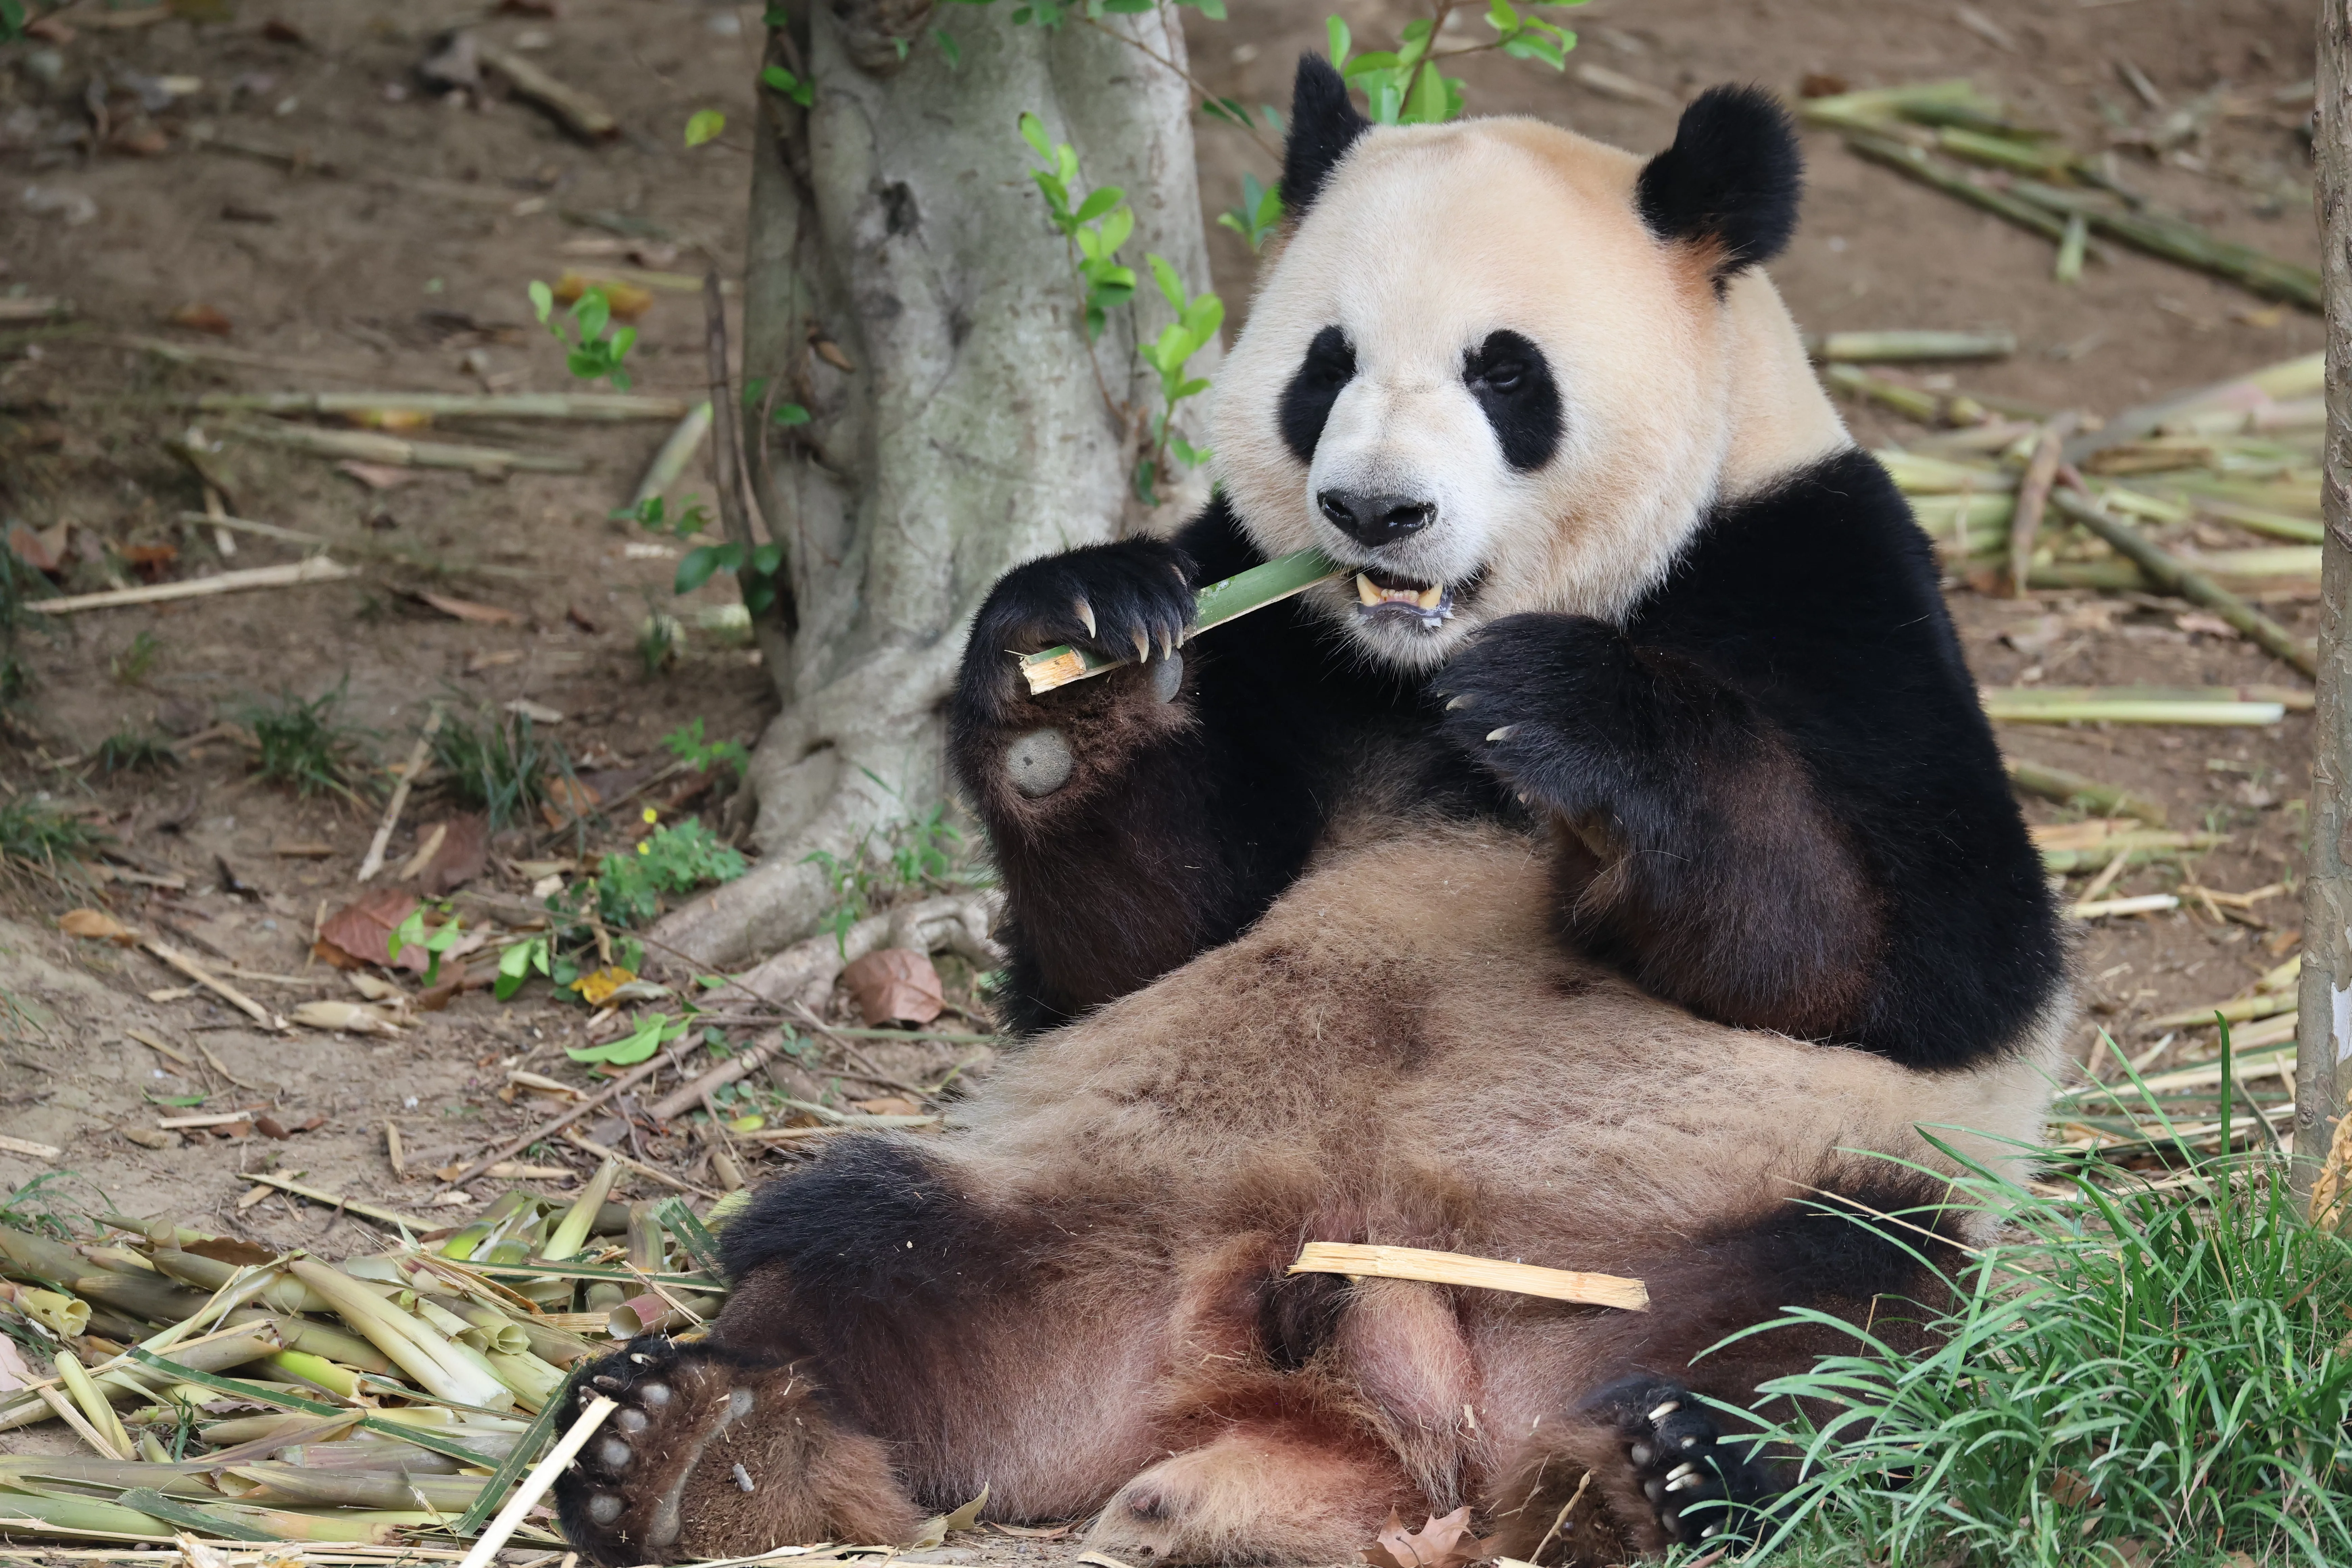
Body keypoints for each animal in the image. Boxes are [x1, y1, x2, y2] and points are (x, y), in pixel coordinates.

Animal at [550, 60, 2071, 1566]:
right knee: (860, 1245)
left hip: (1676, 1237)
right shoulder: (1265, 618)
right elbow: (1135, 942)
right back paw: (694, 1448)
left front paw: (1572, 716)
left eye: (1505, 371)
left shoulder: (1826, 582)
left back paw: (1655, 1478)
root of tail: (1345, 1393)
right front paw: (1071, 659)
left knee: (1851, 1307)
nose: (1374, 510)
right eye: (1324, 365)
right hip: (1092, 1210)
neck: (1418, 659)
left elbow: (1928, 964)